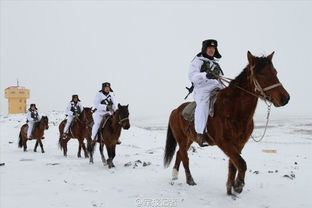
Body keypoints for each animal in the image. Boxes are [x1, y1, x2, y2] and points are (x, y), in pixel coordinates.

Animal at [163, 51, 290, 195]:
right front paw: (238, 185)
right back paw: (190, 180)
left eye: (275, 72)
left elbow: (233, 165)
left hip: (189, 139)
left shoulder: (239, 144)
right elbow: (241, 164)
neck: (233, 109)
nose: (285, 98)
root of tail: (175, 110)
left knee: (180, 153)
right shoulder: (224, 143)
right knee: (184, 156)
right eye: (261, 73)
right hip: (182, 139)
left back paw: (175, 175)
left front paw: (230, 189)